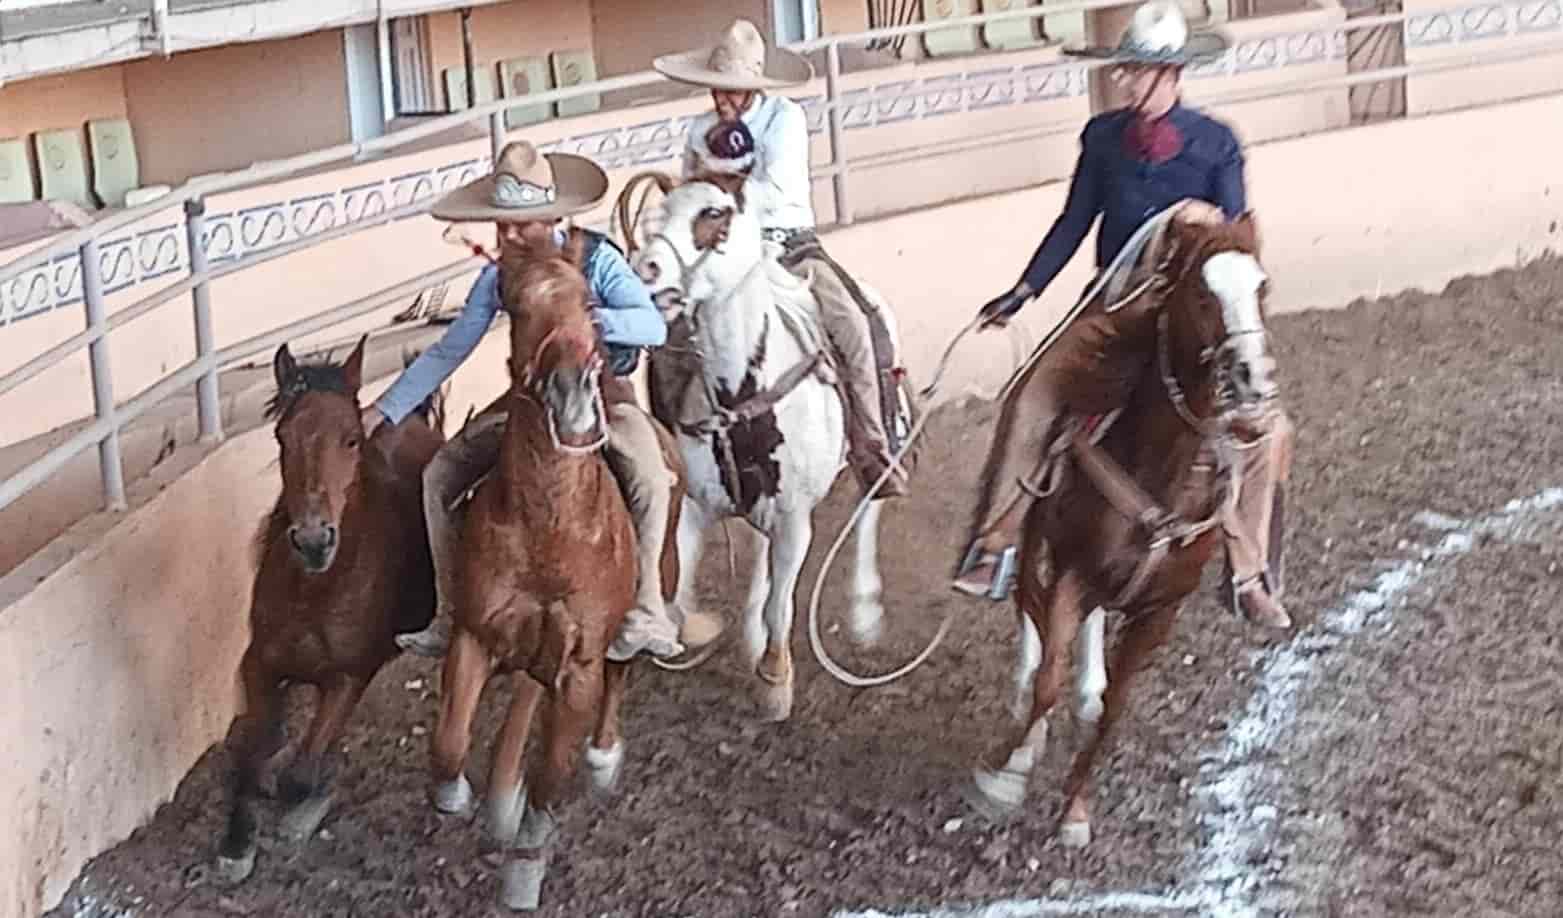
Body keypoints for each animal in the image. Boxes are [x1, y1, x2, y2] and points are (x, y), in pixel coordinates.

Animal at [214, 336, 447, 882]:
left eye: (351, 440)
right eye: (282, 437)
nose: (314, 540)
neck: (315, 591)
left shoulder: (347, 677)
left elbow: (301, 770)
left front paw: (304, 805)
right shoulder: (259, 665)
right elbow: (253, 754)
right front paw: (237, 843)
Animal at [425, 225, 650, 913]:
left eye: (590, 304)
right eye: (516, 306)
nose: (573, 389)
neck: (550, 532)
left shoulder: (578, 667)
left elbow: (551, 776)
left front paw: (524, 868)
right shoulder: (474, 636)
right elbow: (448, 743)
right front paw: (461, 796)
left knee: (620, 676)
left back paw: (602, 759)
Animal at [622, 174, 912, 725]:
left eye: (713, 214)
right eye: (659, 212)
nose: (644, 268)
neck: (741, 395)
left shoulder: (795, 518)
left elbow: (783, 601)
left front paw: (775, 682)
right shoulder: (699, 506)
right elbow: (682, 585)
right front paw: (691, 629)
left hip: (882, 451)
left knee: (868, 510)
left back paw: (865, 613)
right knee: (760, 552)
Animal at [969, 214, 1287, 850]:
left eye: (1261, 287)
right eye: (1201, 293)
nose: (1253, 382)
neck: (1163, 479)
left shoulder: (1159, 612)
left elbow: (1117, 708)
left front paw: (1075, 810)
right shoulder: (1070, 571)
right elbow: (1047, 678)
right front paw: (1007, 780)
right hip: (1033, 536)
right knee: (1027, 609)